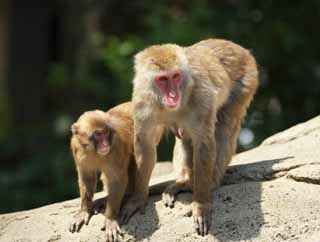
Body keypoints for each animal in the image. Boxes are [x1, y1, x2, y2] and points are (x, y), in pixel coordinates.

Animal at [70, 102, 134, 242]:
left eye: (106, 132)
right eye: (98, 134)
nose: (105, 144)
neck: (93, 150)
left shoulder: (116, 145)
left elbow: (117, 180)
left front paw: (110, 219)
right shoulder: (76, 147)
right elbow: (86, 177)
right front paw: (84, 211)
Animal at [121, 38, 258, 235]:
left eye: (176, 76)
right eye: (162, 79)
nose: (173, 95)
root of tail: (238, 48)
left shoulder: (201, 97)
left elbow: (204, 143)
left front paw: (200, 203)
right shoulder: (141, 101)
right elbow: (145, 146)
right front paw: (137, 199)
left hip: (246, 81)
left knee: (223, 127)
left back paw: (207, 182)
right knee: (185, 137)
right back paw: (184, 181)